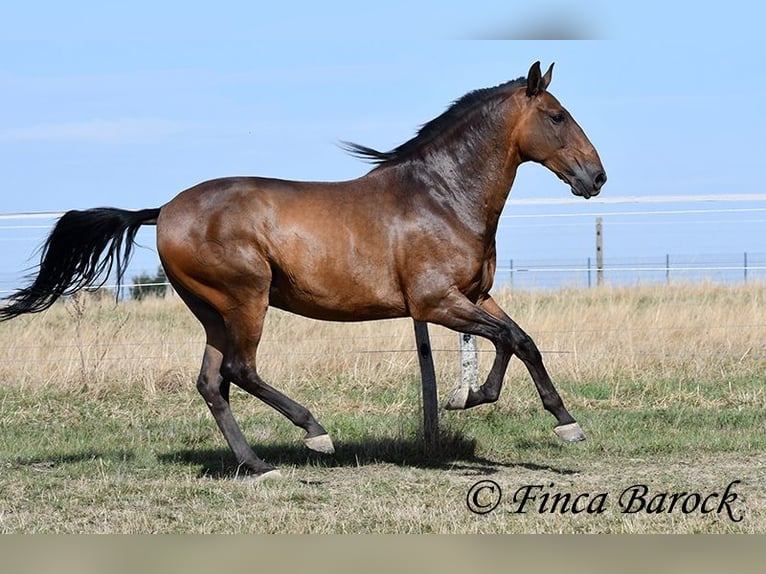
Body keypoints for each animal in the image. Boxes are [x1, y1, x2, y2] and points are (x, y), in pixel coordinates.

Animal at [0, 62, 606, 480]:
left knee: (211, 382)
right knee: (240, 370)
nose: (596, 177)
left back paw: (256, 466)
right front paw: (490, 402)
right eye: (557, 116)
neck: (442, 196)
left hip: (212, 311)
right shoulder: (435, 303)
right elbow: (509, 338)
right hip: (247, 297)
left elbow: (521, 340)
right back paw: (315, 434)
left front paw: (544, 415)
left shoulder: (473, 296)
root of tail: (164, 210)